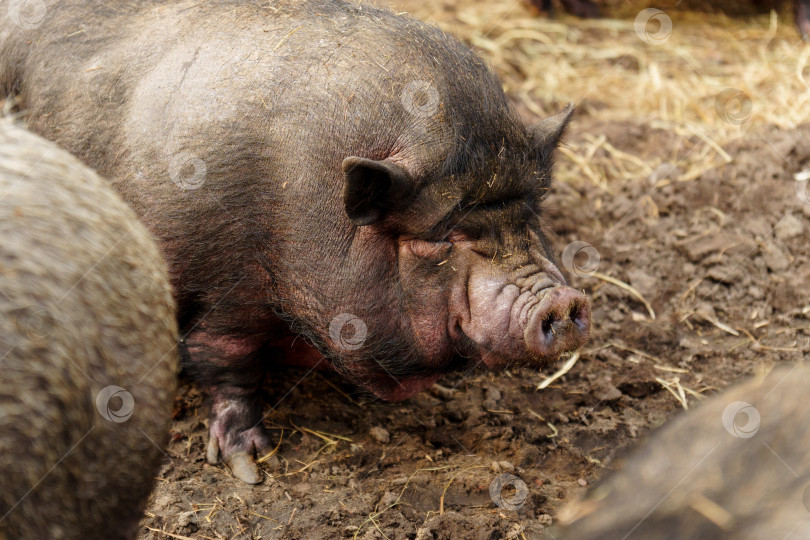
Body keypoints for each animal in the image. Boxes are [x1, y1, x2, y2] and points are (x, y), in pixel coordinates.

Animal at [0, 0, 592, 480]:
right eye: (442, 237)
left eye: (532, 214)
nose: (561, 300)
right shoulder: (223, 289)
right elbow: (224, 362)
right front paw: (251, 466)